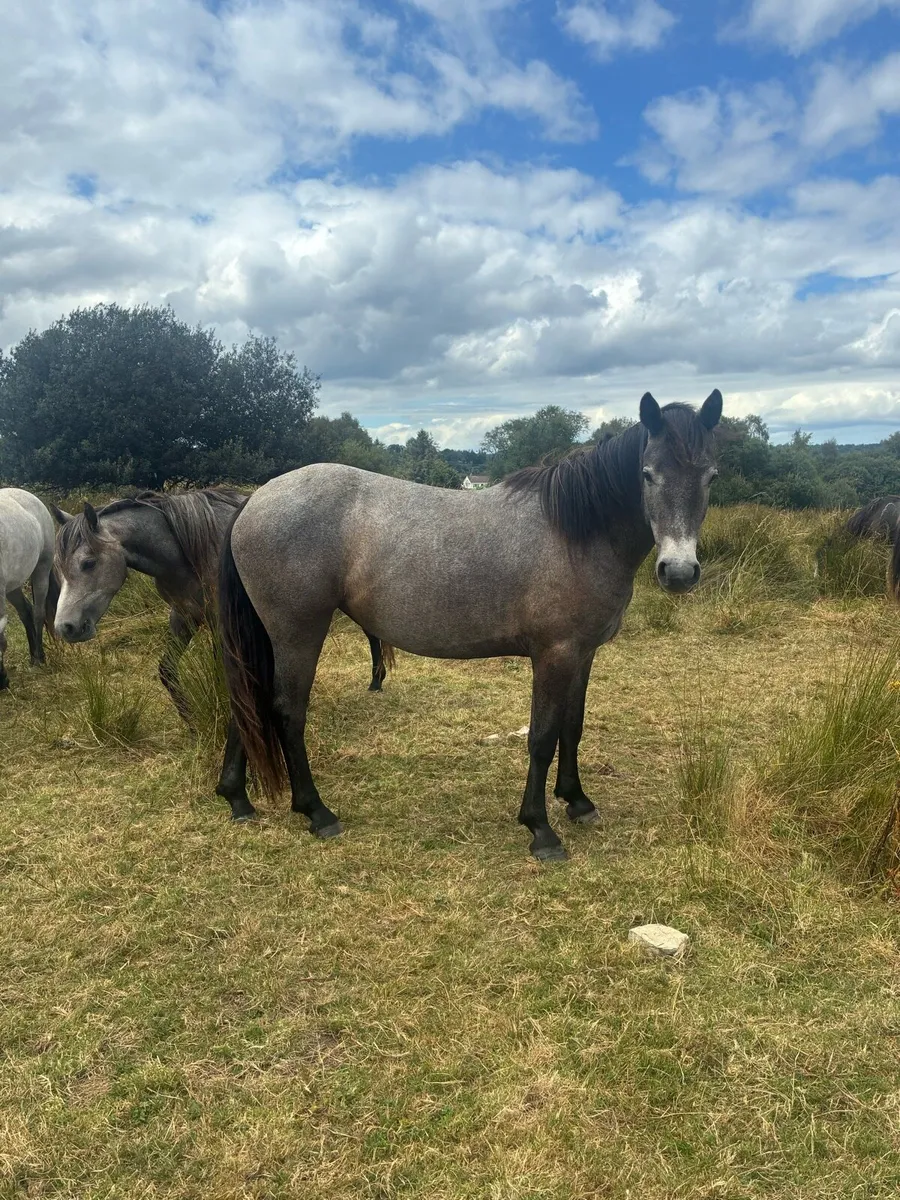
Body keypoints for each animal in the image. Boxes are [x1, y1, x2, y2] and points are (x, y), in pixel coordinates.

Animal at [0, 487, 58, 689]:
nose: (3, 681)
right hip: (13, 587)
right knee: (26, 611)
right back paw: (34, 656)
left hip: (41, 569)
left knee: (38, 613)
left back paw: (39, 658)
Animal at [217, 390, 723, 860]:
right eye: (648, 474)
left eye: (711, 476)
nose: (679, 572)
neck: (576, 532)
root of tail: (254, 499)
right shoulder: (554, 653)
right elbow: (542, 737)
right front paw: (540, 829)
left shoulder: (582, 653)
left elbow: (572, 726)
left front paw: (577, 801)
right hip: (298, 632)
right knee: (286, 711)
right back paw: (316, 811)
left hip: (270, 637)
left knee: (250, 702)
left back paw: (236, 798)